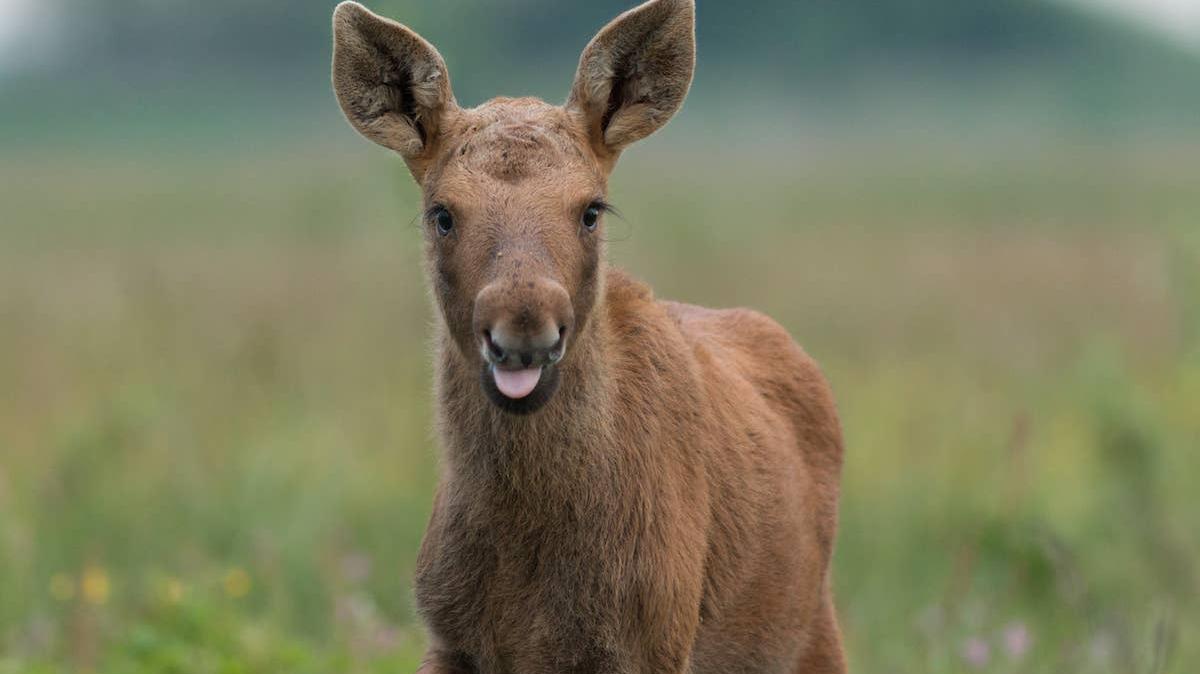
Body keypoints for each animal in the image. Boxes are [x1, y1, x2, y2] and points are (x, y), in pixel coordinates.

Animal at [331, 0, 846, 671]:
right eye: (440, 214)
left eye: (591, 209)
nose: (524, 328)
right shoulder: (448, 640)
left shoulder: (649, 643)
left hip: (817, 636)